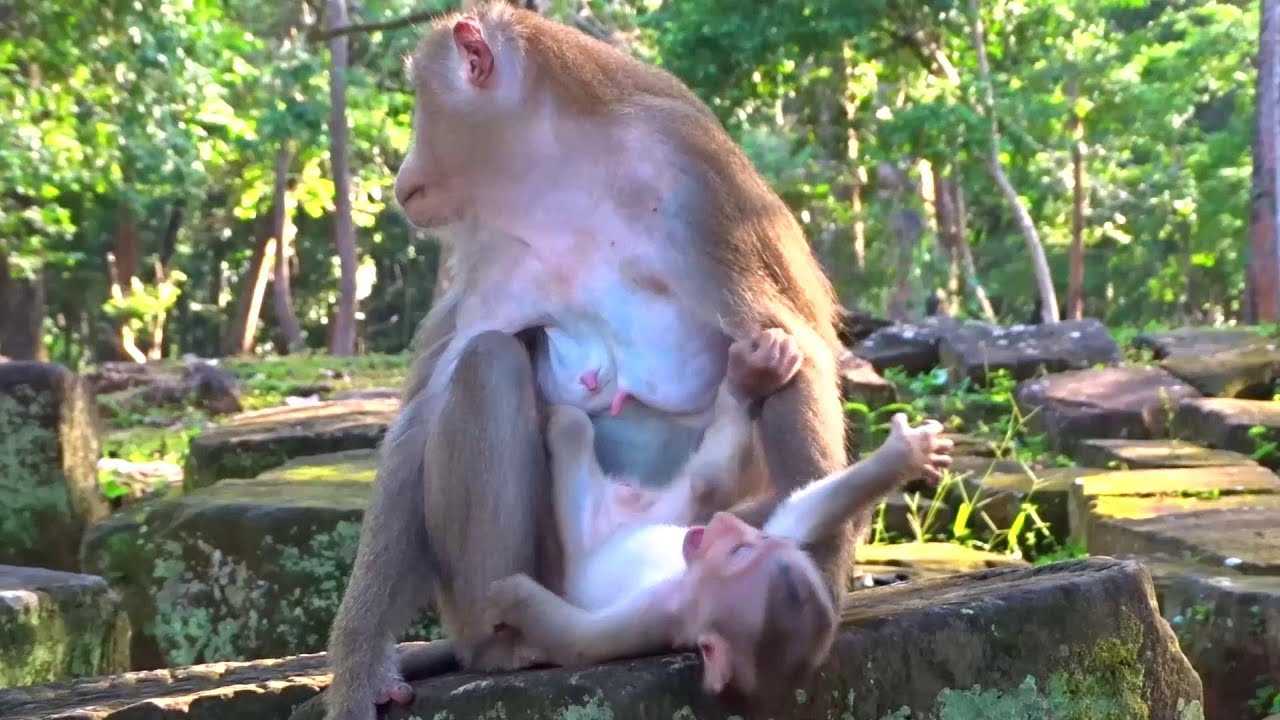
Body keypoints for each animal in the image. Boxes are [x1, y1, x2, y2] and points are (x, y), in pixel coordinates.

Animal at [324, 4, 852, 717]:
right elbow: (427, 407)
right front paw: (359, 667)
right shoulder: (492, 246)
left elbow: (786, 338)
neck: (559, 175)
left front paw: (809, 584)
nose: (401, 177)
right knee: (487, 363)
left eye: (419, 103)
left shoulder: (694, 177)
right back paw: (498, 644)